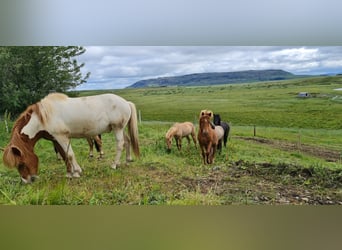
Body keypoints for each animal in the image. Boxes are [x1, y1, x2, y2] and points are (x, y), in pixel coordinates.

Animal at [2, 93, 139, 183]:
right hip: (121, 129)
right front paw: (69, 173)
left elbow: (70, 155)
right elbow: (64, 155)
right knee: (127, 141)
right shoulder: (55, 139)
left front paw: (77, 172)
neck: (42, 118)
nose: (26, 181)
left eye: (21, 164)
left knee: (120, 144)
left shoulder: (62, 137)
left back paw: (114, 165)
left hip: (117, 128)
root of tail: (126, 102)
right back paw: (127, 160)